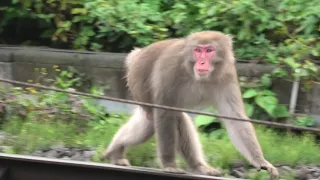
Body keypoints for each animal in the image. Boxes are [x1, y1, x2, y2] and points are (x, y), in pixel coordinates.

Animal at [102, 31, 278, 179]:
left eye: (209, 50)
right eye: (198, 50)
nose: (201, 62)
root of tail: (138, 54)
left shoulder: (227, 74)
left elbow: (234, 117)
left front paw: (260, 160)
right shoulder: (170, 69)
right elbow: (164, 112)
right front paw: (169, 165)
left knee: (169, 119)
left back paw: (198, 166)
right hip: (138, 83)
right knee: (154, 121)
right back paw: (116, 150)